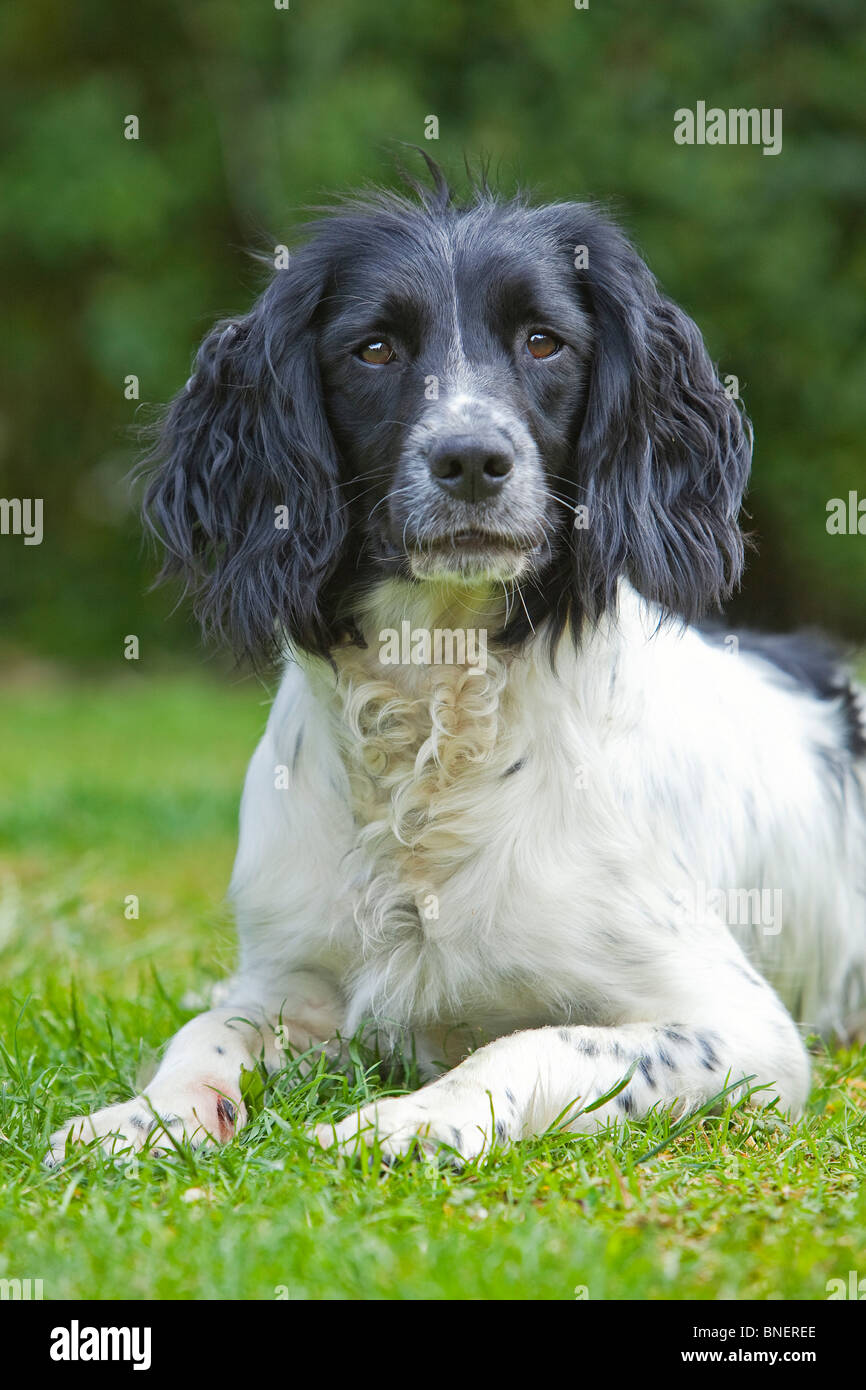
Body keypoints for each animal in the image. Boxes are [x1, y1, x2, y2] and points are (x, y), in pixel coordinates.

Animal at [48, 159, 866, 1162]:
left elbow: (529, 1043)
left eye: (544, 342)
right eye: (373, 350)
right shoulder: (291, 980)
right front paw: (146, 1116)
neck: (435, 703)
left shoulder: (740, 1028)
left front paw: (411, 1120)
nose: (472, 458)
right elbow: (207, 1029)